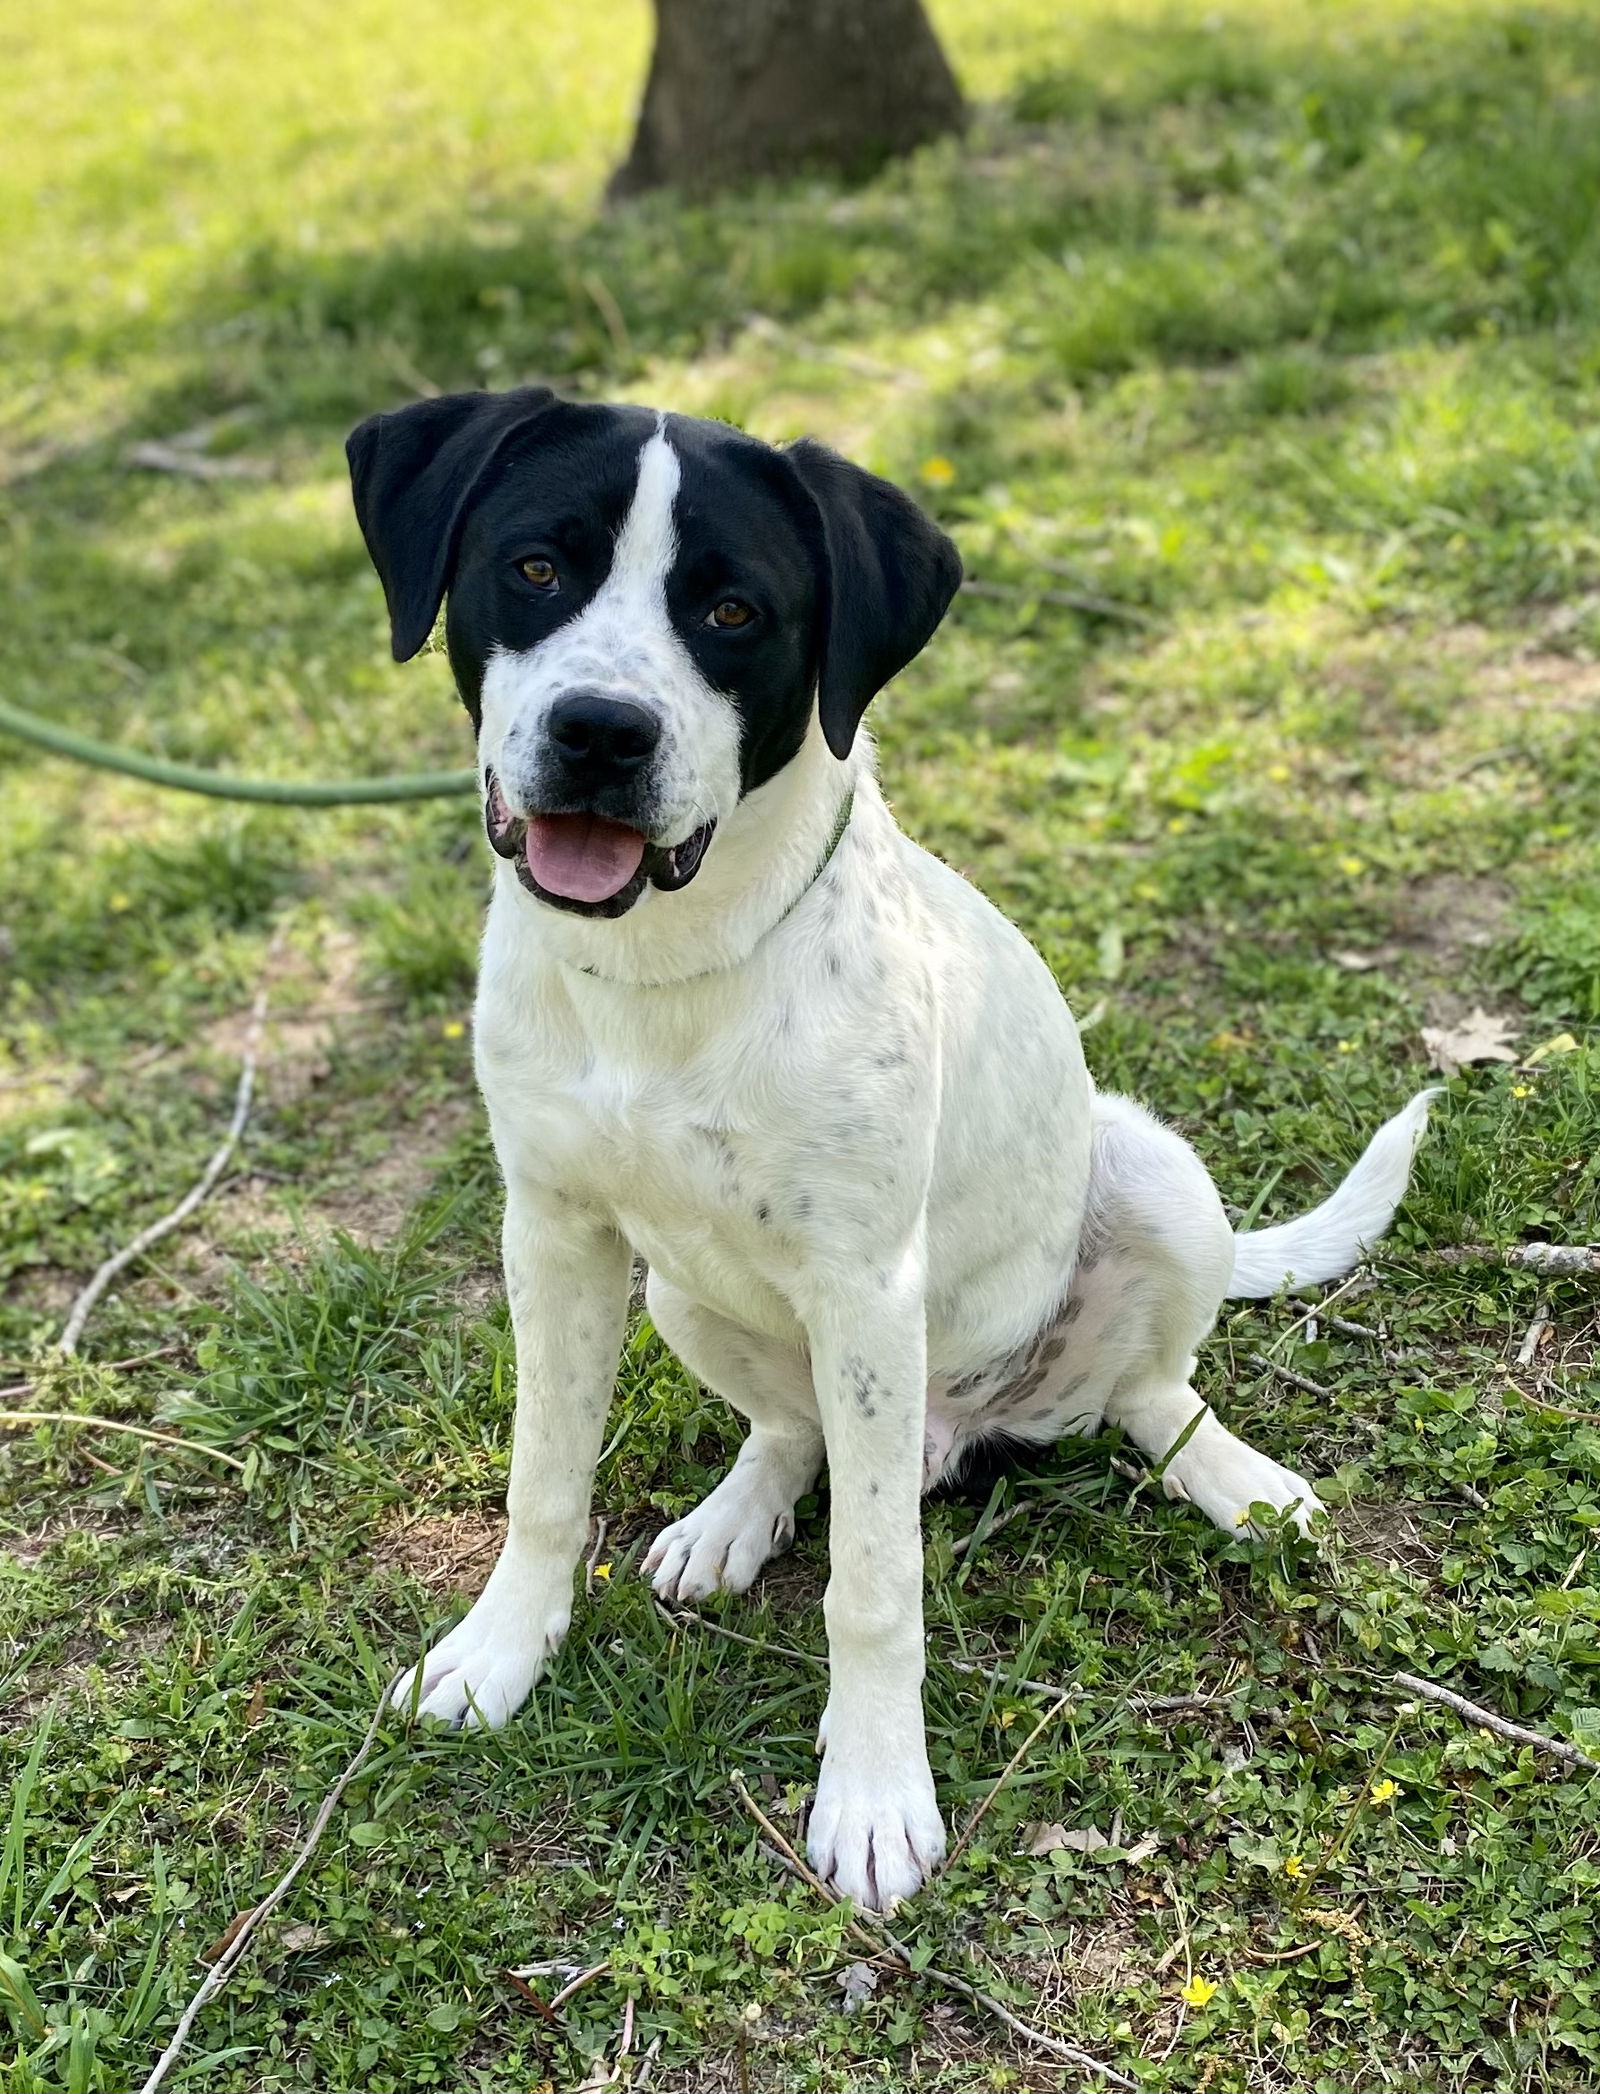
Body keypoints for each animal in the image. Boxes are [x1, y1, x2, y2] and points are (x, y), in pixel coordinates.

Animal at [347, 389, 1440, 1918]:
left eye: (733, 610)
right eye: (537, 568)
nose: (601, 732)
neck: (665, 967)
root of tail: (956, 1426)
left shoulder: (866, 1286)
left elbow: (872, 1589)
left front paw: (872, 1793)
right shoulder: (554, 1233)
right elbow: (543, 1482)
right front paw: (502, 1652)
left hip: (1148, 1183)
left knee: (1147, 1393)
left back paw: (1233, 1477)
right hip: (683, 1293)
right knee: (795, 1429)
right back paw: (733, 1515)